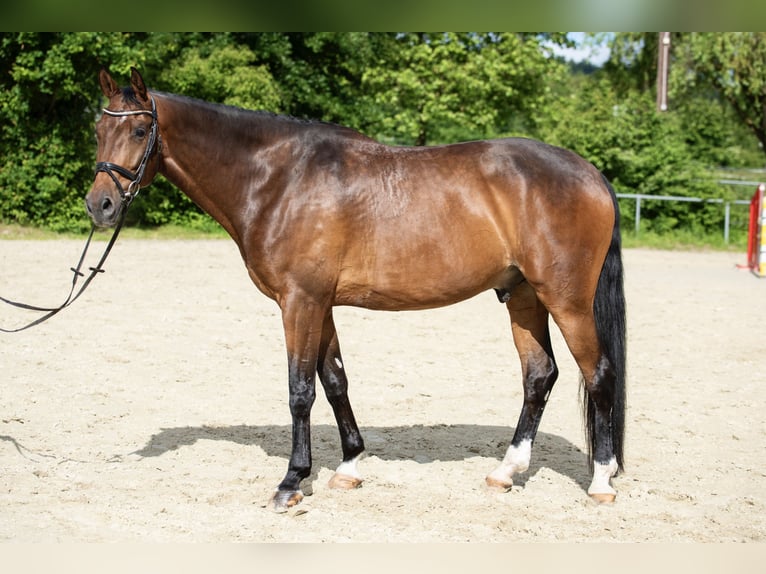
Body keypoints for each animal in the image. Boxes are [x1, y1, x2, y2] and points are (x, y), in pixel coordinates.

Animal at [87, 67, 628, 512]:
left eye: (139, 130)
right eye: (98, 130)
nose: (101, 205)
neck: (279, 179)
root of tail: (591, 174)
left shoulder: (299, 302)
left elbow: (300, 390)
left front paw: (291, 482)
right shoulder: (320, 304)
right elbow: (334, 381)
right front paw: (348, 467)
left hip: (566, 300)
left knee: (598, 373)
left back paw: (602, 481)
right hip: (523, 297)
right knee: (540, 375)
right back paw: (505, 472)